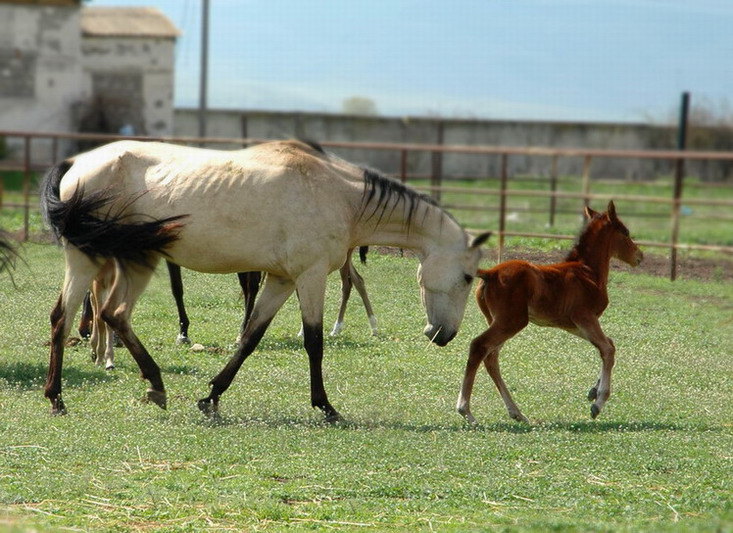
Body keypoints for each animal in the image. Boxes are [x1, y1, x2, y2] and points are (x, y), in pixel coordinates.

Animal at [40, 140, 486, 420]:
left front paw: (211, 397)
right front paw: (326, 407)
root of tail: (76, 164)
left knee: (107, 314)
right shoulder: (309, 277)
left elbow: (250, 337)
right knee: (68, 317)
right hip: (90, 258)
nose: (444, 335)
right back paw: (59, 398)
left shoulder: (281, 280)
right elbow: (314, 342)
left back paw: (151, 386)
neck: (339, 195)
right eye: (467, 277)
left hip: (136, 261)